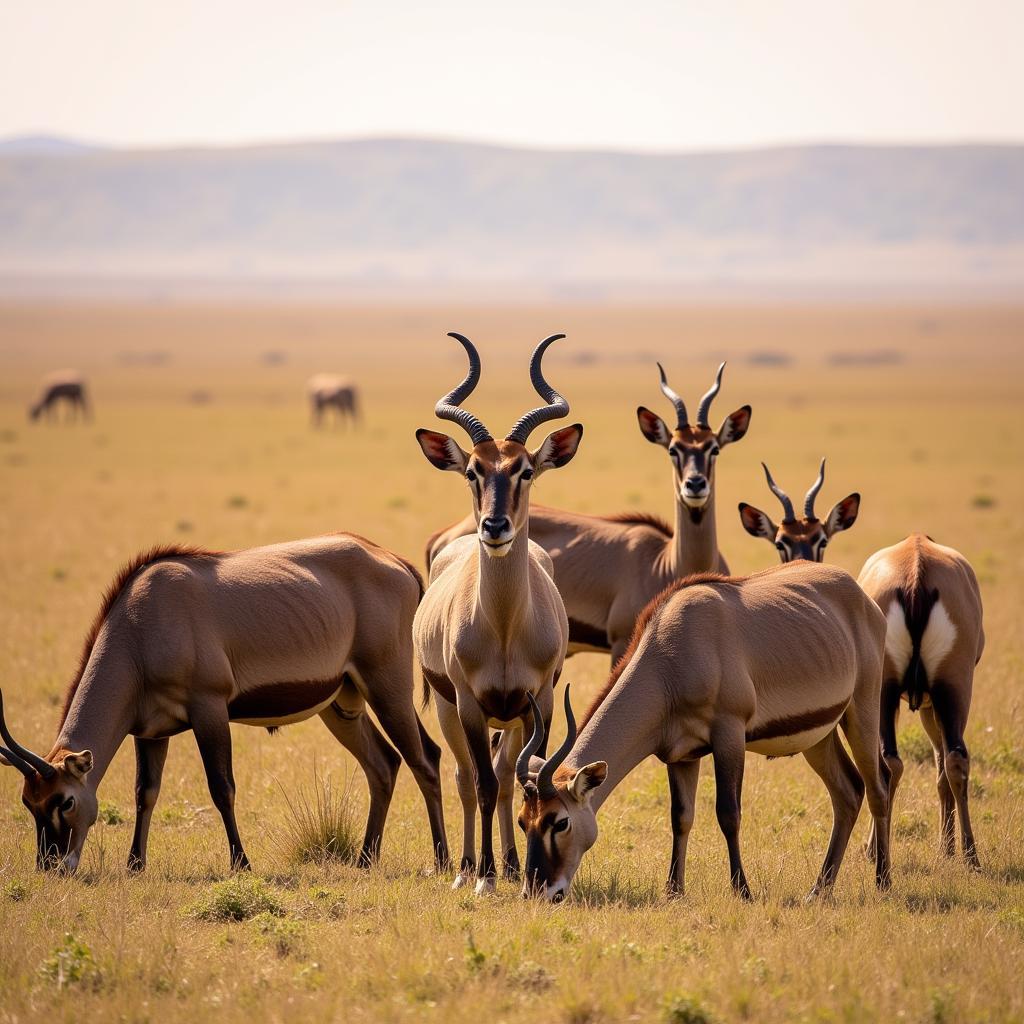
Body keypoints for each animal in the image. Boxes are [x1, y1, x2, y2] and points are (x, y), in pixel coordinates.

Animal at [0, 532, 448, 876]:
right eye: (28, 803)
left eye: (66, 801)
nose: (53, 866)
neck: (140, 626)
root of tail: (396, 563)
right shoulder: (150, 731)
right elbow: (145, 792)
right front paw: (135, 865)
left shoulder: (209, 710)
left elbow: (222, 788)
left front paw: (241, 864)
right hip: (342, 705)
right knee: (383, 764)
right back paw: (365, 859)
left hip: (387, 687)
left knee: (425, 758)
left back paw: (443, 861)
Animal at [409, 331, 581, 892]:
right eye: (473, 470)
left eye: (525, 469)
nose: (495, 526)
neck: (505, 630)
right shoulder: (469, 703)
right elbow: (481, 783)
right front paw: (482, 876)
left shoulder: (537, 701)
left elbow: (521, 779)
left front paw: (515, 868)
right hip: (450, 711)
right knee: (467, 777)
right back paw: (467, 867)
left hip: (509, 717)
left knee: (506, 777)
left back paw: (505, 860)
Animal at [423, 364, 753, 659]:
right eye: (674, 449)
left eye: (714, 448)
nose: (694, 485)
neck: (668, 561)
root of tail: (445, 534)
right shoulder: (622, 642)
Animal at [516, 561, 892, 905]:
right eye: (523, 821)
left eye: (559, 822)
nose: (538, 891)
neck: (671, 654)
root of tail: (857, 592)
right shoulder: (681, 755)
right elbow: (680, 817)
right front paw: (673, 891)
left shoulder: (729, 735)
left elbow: (728, 813)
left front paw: (742, 891)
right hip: (818, 737)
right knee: (848, 792)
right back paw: (817, 891)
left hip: (863, 708)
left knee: (878, 786)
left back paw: (883, 882)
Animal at [856, 532, 983, 868]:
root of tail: (916, 575)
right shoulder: (930, 704)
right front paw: (947, 847)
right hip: (953, 692)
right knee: (953, 759)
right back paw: (969, 854)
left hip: (889, 696)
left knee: (889, 764)